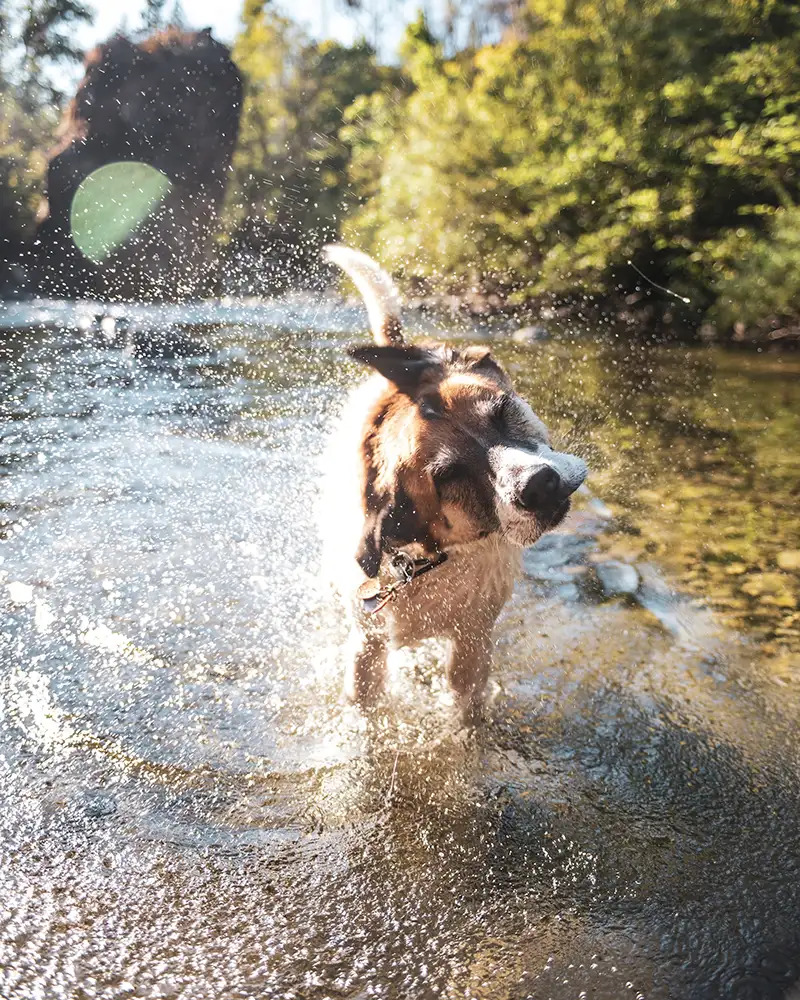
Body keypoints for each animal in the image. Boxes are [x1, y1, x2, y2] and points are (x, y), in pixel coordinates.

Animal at [320, 247, 588, 724]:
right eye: (449, 476)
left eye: (502, 411)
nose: (539, 485)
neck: (423, 559)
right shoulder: (367, 648)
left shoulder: (472, 643)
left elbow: (468, 709)